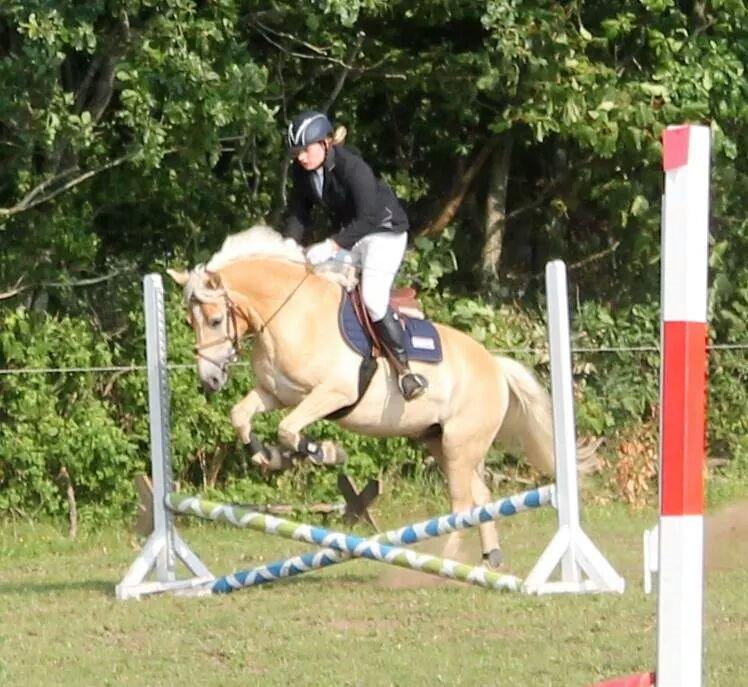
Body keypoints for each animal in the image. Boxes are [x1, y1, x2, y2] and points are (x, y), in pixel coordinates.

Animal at [168, 226, 556, 568]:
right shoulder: (275, 394)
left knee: (462, 505)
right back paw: (491, 556)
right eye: (190, 323)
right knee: (481, 497)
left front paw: (323, 452)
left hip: (461, 445)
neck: (294, 315)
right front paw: (269, 457)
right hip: (442, 442)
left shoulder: (333, 392)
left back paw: (441, 564)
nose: (210, 379)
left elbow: (288, 429)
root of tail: (495, 365)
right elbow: (241, 416)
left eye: (215, 320)